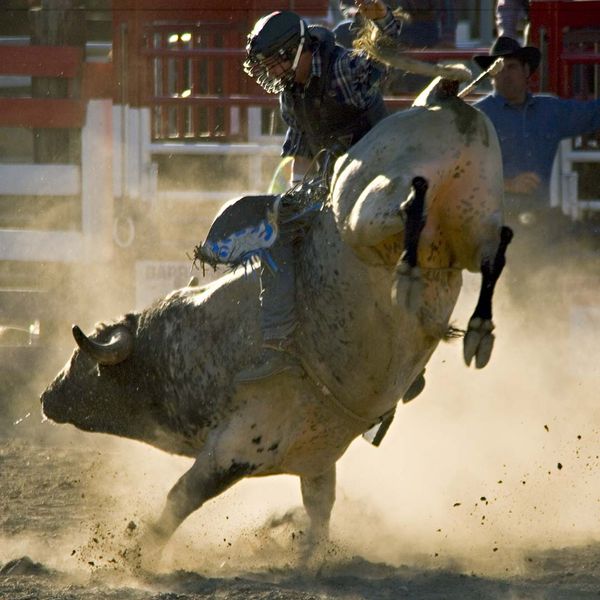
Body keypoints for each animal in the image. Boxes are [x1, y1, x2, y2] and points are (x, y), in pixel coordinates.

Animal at [39, 61, 512, 564]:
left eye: (83, 358)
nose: (47, 396)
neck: (198, 344)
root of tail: (440, 95)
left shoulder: (234, 447)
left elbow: (180, 499)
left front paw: (139, 555)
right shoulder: (317, 459)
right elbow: (319, 511)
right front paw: (308, 557)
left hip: (367, 209)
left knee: (408, 209)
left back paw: (409, 271)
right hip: (473, 213)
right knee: (493, 249)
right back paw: (477, 331)